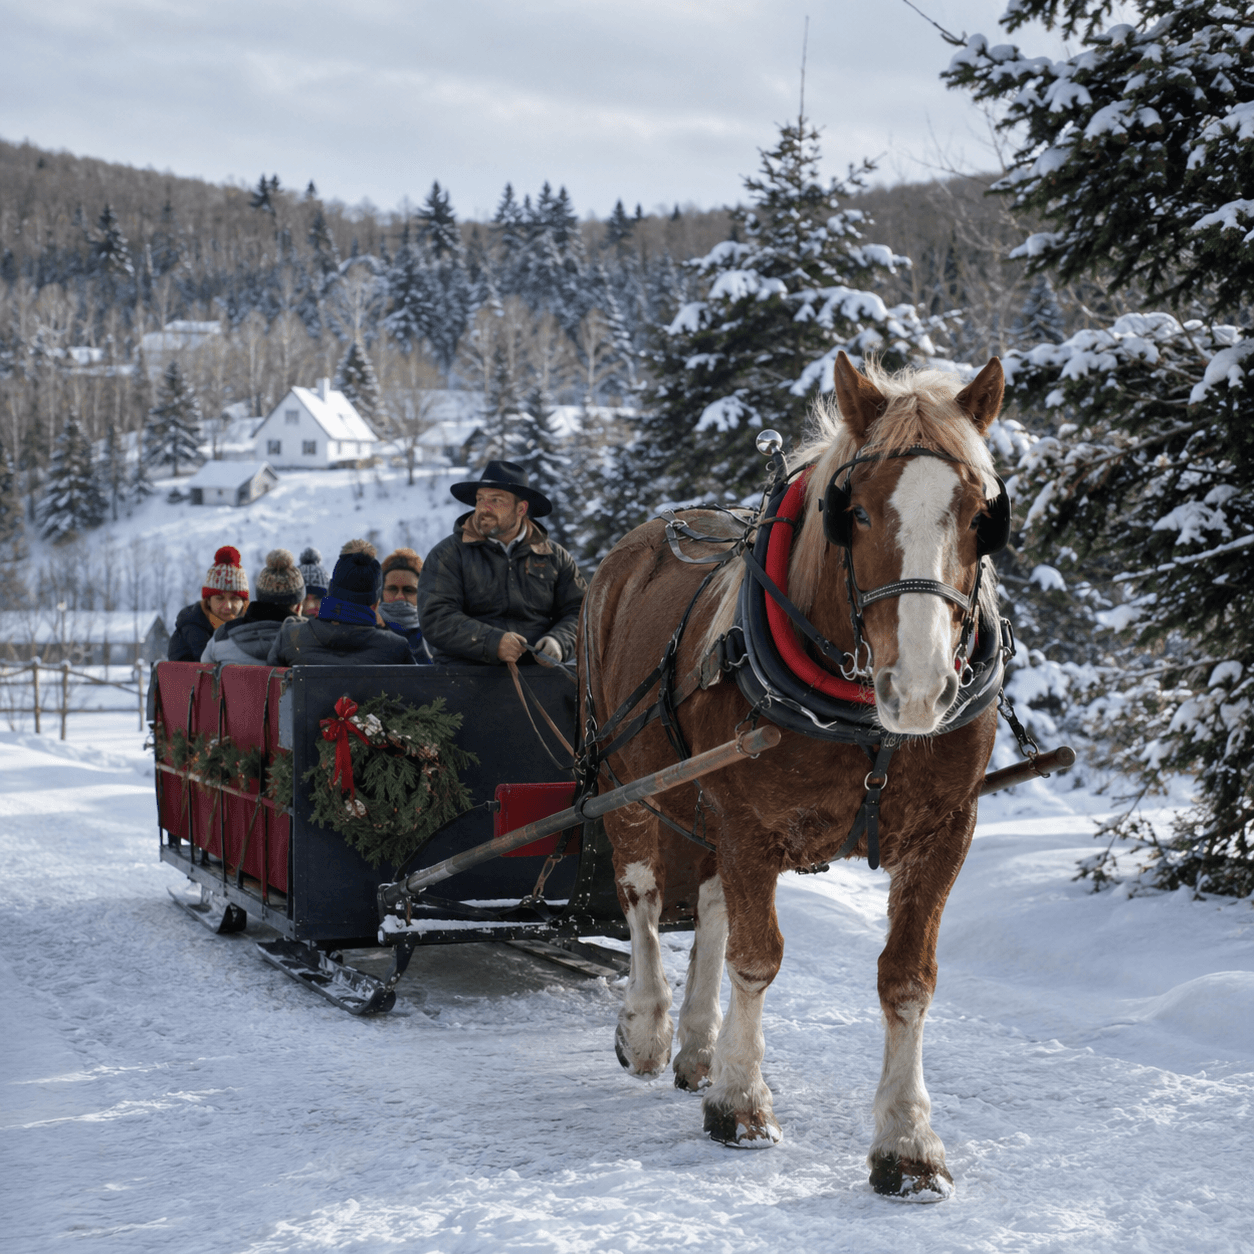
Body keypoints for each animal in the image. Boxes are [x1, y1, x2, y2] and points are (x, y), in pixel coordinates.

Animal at [579, 351, 1009, 1201]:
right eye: (858, 514)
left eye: (983, 516)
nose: (920, 688)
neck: (863, 722)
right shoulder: (749, 820)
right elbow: (756, 957)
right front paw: (741, 1104)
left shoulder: (945, 833)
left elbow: (907, 980)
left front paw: (907, 1142)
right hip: (628, 777)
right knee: (643, 894)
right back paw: (648, 1027)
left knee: (709, 903)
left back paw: (698, 1046)